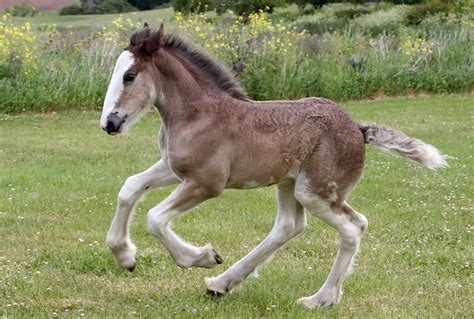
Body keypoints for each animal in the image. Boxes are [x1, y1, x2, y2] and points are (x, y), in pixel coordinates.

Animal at [101, 23, 448, 308]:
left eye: (129, 76)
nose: (109, 123)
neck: (198, 114)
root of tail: (359, 130)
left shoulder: (207, 182)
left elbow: (155, 218)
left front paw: (202, 257)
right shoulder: (174, 168)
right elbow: (129, 187)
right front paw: (125, 256)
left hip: (314, 192)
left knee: (350, 229)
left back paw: (320, 299)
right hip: (292, 183)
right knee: (299, 225)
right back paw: (222, 284)